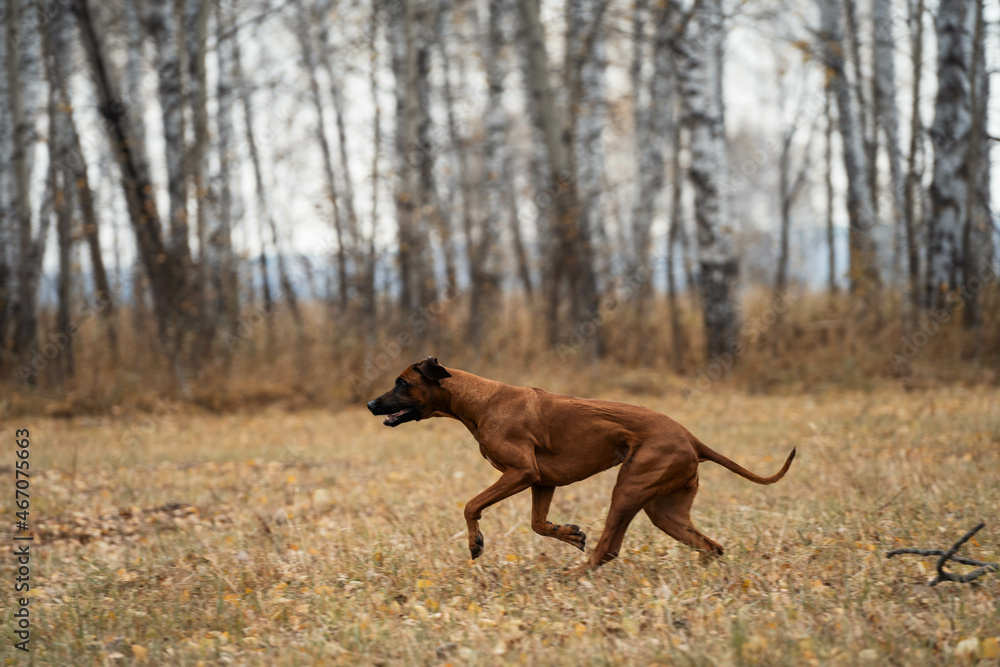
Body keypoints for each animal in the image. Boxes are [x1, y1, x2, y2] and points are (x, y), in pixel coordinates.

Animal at [368, 358, 796, 572]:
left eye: (402, 383)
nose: (372, 404)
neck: (481, 400)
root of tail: (691, 437)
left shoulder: (521, 473)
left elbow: (471, 505)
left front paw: (475, 542)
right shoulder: (542, 481)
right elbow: (538, 524)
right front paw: (569, 533)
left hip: (628, 489)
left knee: (608, 549)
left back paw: (574, 576)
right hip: (665, 511)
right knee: (712, 546)